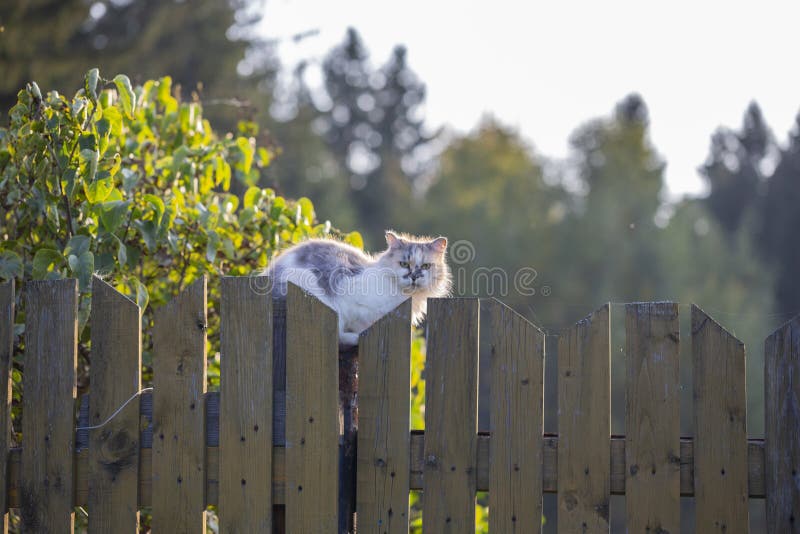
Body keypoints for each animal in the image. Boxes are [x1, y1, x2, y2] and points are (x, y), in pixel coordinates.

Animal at [262, 230, 450, 348]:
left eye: (425, 266)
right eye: (404, 264)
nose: (414, 276)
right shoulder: (354, 304)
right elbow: (354, 329)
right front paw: (358, 335)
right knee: (339, 337)